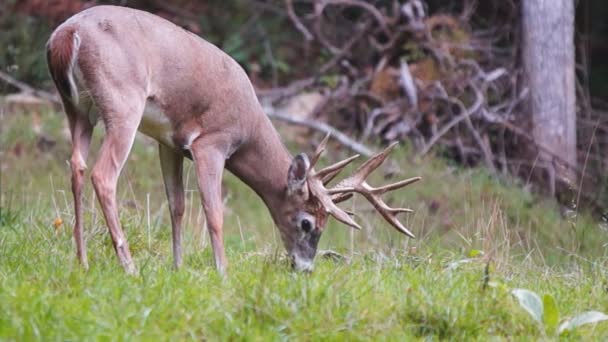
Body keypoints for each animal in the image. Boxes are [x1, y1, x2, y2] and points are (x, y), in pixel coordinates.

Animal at [46, 5, 418, 274]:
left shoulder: (169, 141)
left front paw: (177, 268)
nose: (304, 269)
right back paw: (128, 266)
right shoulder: (211, 141)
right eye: (307, 222)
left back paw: (81, 260)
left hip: (76, 108)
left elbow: (177, 205)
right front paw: (222, 271)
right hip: (123, 102)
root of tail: (67, 34)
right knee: (103, 174)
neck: (249, 127)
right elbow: (213, 210)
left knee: (76, 166)